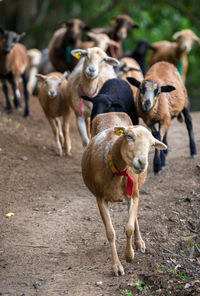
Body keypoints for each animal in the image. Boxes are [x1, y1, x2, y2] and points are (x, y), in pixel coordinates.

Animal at [80, 112, 166, 276]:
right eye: (129, 136)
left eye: (152, 144)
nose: (142, 163)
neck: (117, 170)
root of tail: (110, 113)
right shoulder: (100, 198)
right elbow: (110, 233)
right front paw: (117, 266)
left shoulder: (134, 195)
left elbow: (129, 228)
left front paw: (129, 255)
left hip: (135, 191)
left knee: (135, 217)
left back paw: (139, 243)